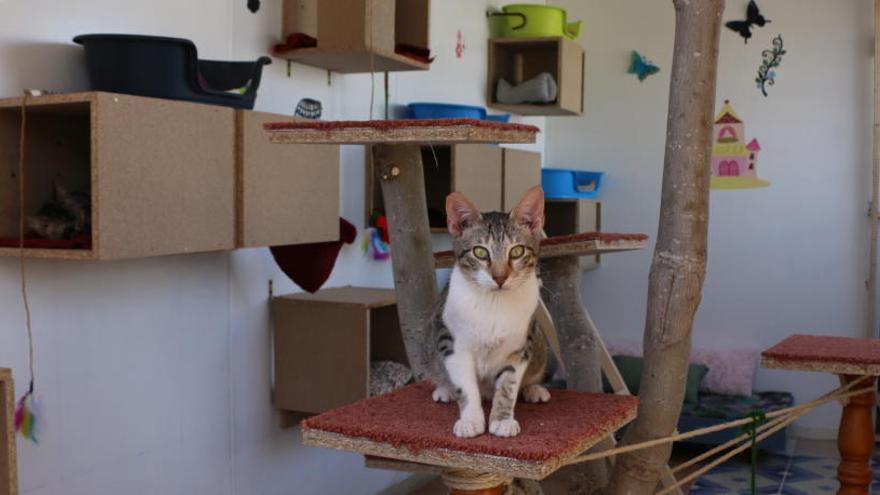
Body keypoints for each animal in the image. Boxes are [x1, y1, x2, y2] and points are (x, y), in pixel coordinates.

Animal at [422, 186, 548, 438]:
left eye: (517, 251)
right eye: (480, 252)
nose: (500, 278)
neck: (493, 303)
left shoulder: (520, 345)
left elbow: (508, 384)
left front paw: (502, 420)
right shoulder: (451, 341)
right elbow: (465, 383)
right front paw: (470, 419)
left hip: (539, 342)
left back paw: (534, 389)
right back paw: (444, 389)